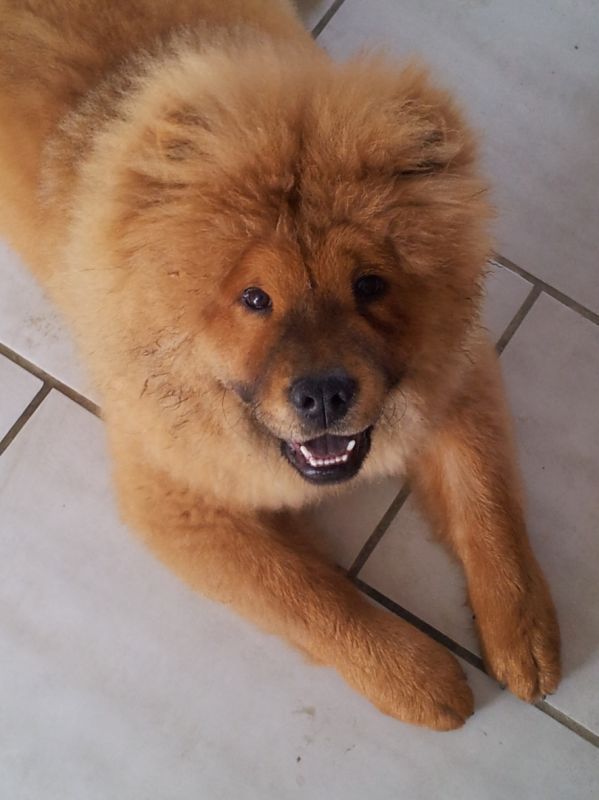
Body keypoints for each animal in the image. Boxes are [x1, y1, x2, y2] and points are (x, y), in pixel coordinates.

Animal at [0, 0, 560, 730]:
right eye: (254, 299)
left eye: (370, 285)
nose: (323, 394)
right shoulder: (178, 497)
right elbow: (313, 598)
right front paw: (422, 682)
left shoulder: (458, 376)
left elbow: (487, 503)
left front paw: (524, 635)